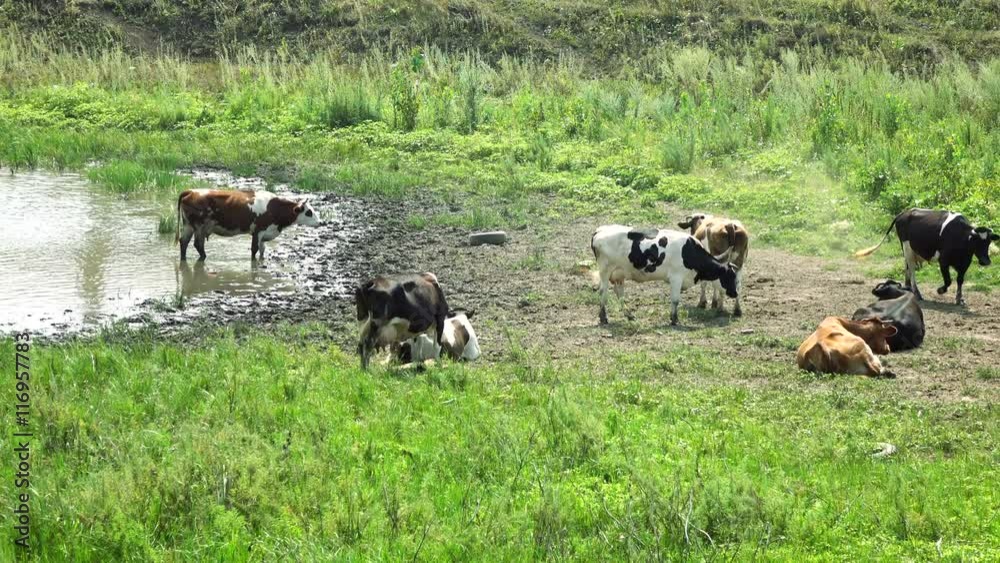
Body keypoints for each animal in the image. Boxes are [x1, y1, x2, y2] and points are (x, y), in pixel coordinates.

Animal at [175, 189, 320, 261]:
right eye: (309, 212)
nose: (320, 222)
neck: (274, 208)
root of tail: (191, 191)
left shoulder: (264, 233)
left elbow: (262, 250)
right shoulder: (258, 231)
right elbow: (254, 249)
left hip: (188, 225)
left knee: (183, 242)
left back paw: (183, 259)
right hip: (199, 226)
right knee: (198, 244)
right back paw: (203, 258)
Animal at [590, 225, 739, 326]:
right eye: (730, 277)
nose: (735, 293)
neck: (689, 251)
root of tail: (599, 231)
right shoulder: (676, 278)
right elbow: (675, 300)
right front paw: (674, 320)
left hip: (619, 273)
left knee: (619, 293)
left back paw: (629, 315)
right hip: (605, 270)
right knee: (603, 291)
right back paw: (603, 317)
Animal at [855, 208, 998, 305]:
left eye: (988, 242)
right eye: (976, 241)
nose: (986, 261)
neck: (961, 237)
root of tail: (904, 213)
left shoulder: (964, 264)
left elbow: (959, 281)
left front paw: (959, 299)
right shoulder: (943, 261)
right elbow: (948, 281)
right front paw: (940, 290)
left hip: (908, 251)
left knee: (907, 267)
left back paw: (907, 288)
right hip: (907, 247)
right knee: (912, 269)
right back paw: (917, 293)